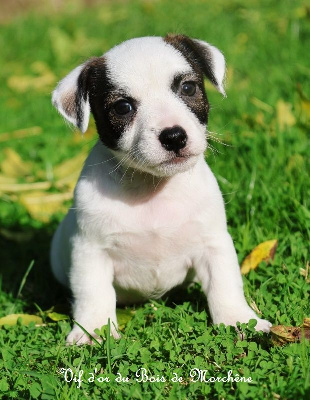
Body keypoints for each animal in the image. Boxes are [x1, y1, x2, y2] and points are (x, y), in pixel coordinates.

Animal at [50, 33, 272, 344]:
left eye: (188, 88)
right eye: (123, 107)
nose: (174, 136)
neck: (151, 188)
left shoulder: (213, 244)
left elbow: (225, 283)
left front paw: (237, 319)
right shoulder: (90, 252)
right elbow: (93, 294)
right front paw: (94, 331)